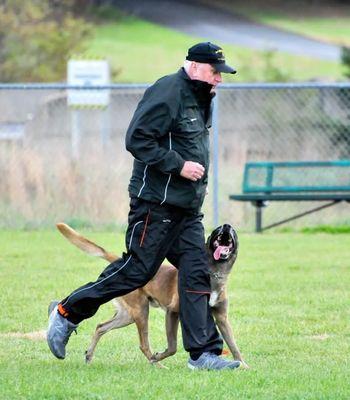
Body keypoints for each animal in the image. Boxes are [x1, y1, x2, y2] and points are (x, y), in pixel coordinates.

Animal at [56, 222, 247, 368]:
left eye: (233, 231)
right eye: (217, 230)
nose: (227, 226)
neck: (214, 273)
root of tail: (120, 260)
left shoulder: (222, 318)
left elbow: (234, 345)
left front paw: (243, 365)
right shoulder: (173, 312)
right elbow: (173, 346)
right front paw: (159, 356)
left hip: (128, 315)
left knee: (100, 326)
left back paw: (89, 355)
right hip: (141, 311)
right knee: (143, 345)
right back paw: (158, 364)